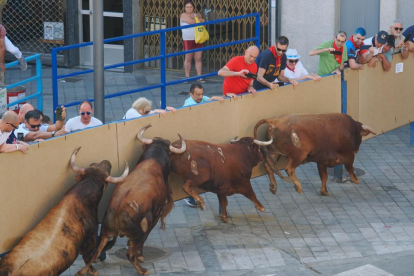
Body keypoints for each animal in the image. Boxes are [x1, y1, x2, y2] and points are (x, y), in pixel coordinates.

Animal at [77, 124, 187, 274]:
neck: (153, 161)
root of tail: (117, 211)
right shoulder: (156, 215)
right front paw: (141, 256)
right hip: (138, 232)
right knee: (130, 253)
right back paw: (143, 270)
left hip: (105, 232)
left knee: (95, 253)